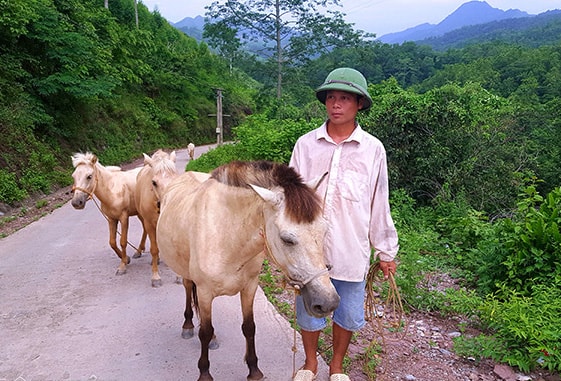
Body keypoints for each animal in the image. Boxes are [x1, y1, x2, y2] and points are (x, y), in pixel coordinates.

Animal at [155, 160, 340, 380]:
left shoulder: (249, 287)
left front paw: (253, 369)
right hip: (186, 275)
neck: (227, 234)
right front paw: (205, 373)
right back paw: (188, 325)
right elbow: (204, 332)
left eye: (324, 230)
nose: (328, 302)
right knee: (187, 289)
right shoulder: (205, 292)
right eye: (287, 239)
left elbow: (248, 327)